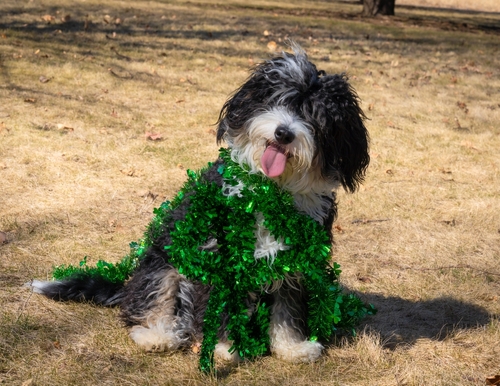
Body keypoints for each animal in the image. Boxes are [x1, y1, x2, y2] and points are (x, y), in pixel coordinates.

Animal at [30, 45, 368, 364]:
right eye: (279, 100)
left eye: (315, 117)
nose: (284, 133)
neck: (271, 190)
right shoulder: (219, 256)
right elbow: (221, 308)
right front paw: (224, 348)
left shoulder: (298, 260)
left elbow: (288, 311)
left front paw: (292, 348)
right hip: (164, 261)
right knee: (151, 302)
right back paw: (157, 335)